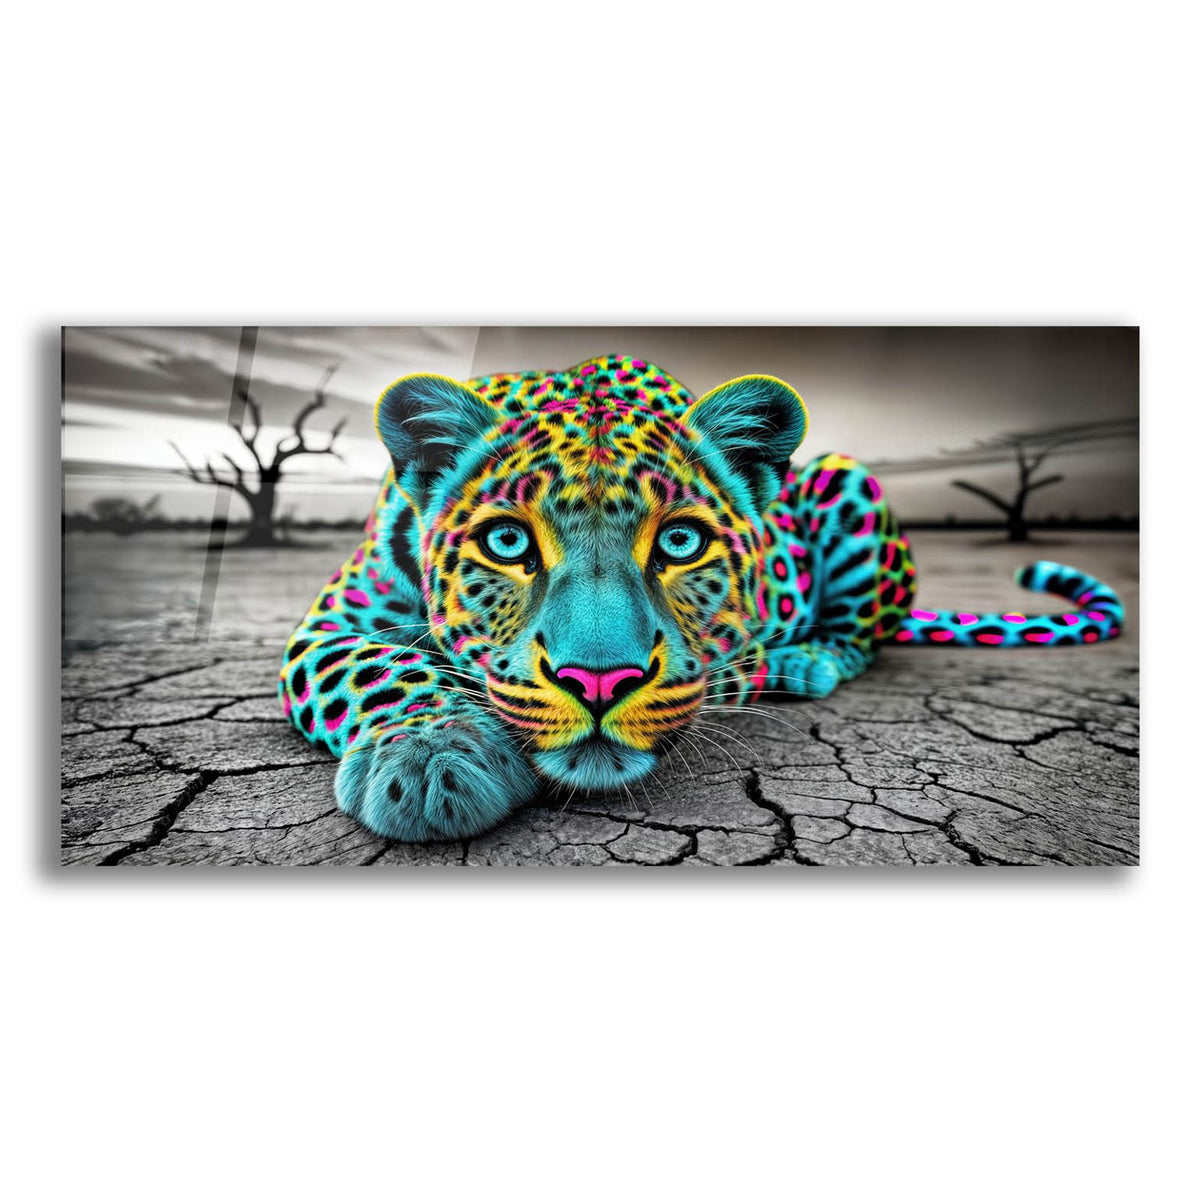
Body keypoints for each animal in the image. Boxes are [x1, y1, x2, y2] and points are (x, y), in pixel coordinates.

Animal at [278, 354, 1124, 843]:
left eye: (682, 543)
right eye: (508, 543)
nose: (598, 682)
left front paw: (433, 765)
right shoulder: (328, 624)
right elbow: (380, 666)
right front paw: (431, 760)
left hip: (847, 475)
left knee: (861, 636)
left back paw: (803, 662)